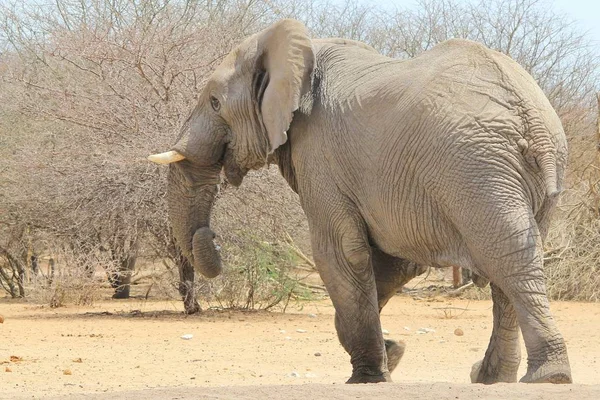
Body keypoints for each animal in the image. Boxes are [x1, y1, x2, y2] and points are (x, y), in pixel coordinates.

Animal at [149, 19, 572, 384]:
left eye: (214, 103)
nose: (213, 238)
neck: (301, 53)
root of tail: (532, 118)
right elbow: (395, 261)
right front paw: (394, 352)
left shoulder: (320, 152)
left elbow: (340, 251)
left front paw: (368, 376)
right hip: (510, 173)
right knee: (513, 264)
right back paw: (492, 379)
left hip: (475, 167)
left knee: (509, 260)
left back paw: (548, 378)